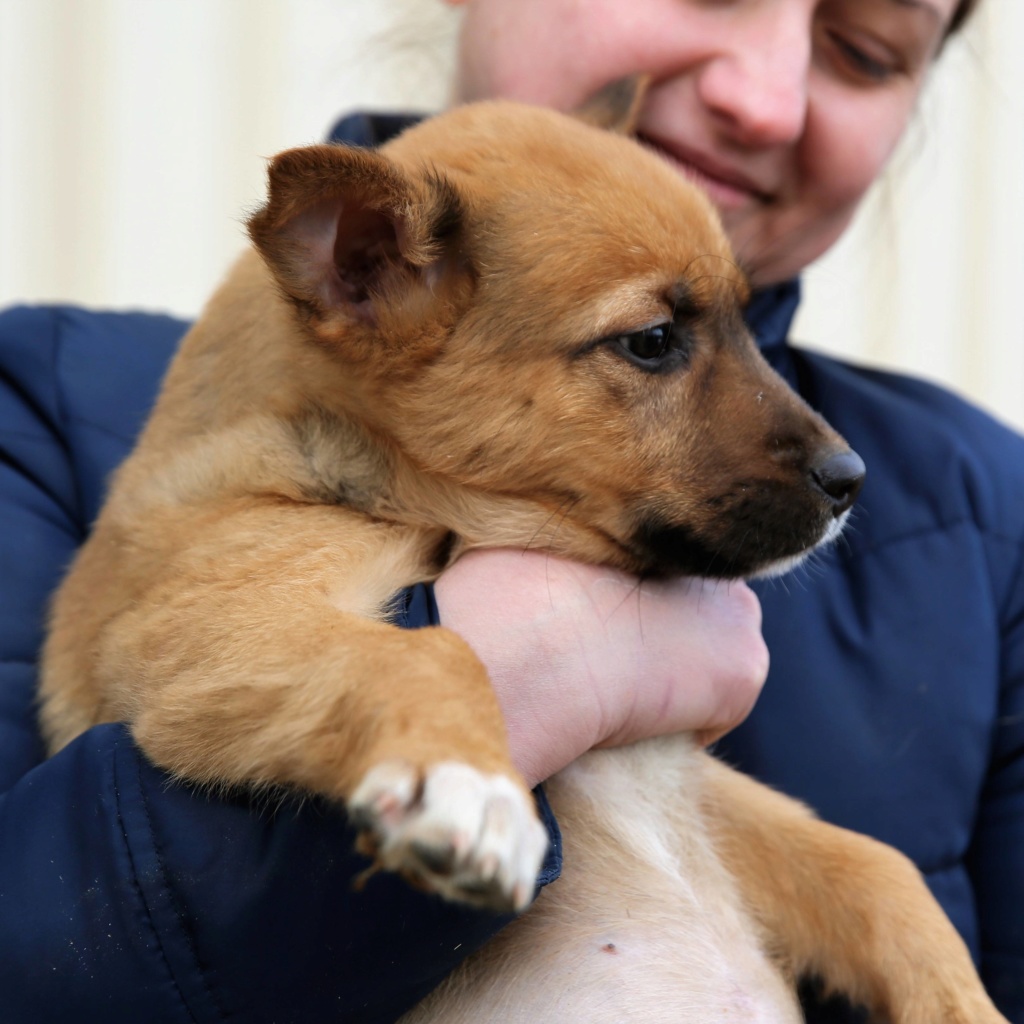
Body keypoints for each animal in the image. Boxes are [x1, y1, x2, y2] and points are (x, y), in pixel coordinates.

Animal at [41, 83, 1007, 1019]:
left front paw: (962, 1003)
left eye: (743, 319)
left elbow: (872, 866)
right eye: (652, 341)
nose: (852, 480)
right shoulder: (204, 626)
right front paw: (465, 782)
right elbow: (429, 653)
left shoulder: (679, 771)